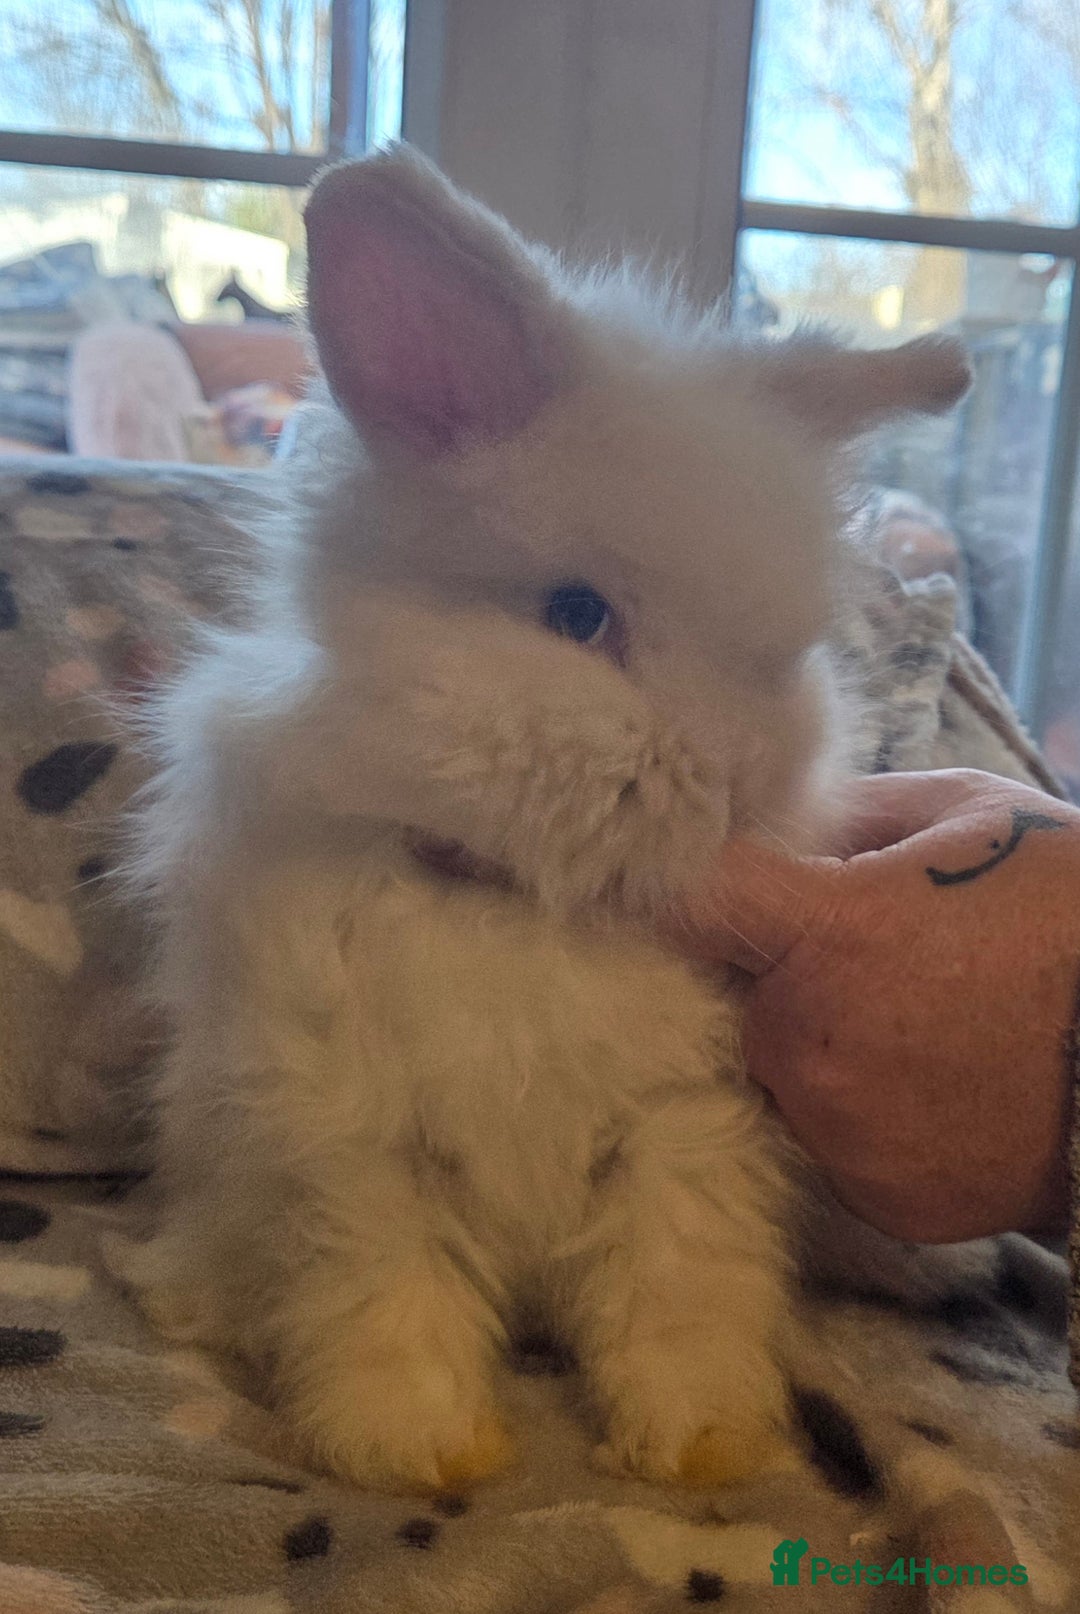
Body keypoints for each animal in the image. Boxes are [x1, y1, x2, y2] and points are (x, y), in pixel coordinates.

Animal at [111, 144, 970, 1495]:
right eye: (576, 616)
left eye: (786, 654)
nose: (740, 783)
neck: (528, 907)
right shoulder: (357, 1152)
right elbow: (387, 1297)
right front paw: (417, 1454)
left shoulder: (682, 1134)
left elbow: (679, 1290)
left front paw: (702, 1445)